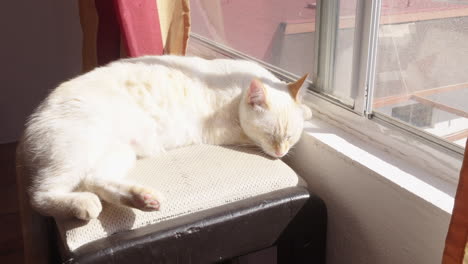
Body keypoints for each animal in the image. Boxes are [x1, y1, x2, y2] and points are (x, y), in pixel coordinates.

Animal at [20, 55, 310, 221]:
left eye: (290, 137)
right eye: (271, 136)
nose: (281, 153)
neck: (236, 91)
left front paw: (305, 111)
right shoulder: (222, 132)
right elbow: (246, 137)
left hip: (119, 152)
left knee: (94, 179)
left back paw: (143, 199)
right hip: (77, 151)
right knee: (39, 195)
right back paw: (83, 204)